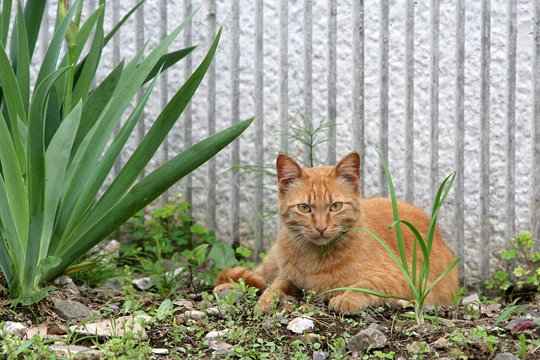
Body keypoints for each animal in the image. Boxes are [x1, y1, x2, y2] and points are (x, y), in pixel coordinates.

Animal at [213, 153, 458, 312]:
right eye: (304, 208)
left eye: (335, 206)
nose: (321, 227)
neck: (315, 260)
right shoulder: (289, 276)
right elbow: (276, 284)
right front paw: (265, 301)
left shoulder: (410, 281)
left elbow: (368, 283)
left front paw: (346, 299)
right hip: (273, 260)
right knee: (257, 275)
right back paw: (229, 287)